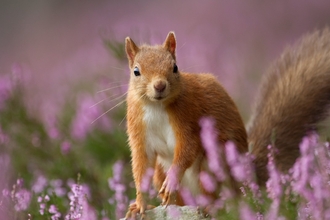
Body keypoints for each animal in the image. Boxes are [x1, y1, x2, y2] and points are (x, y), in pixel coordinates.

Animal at [124, 28, 330, 217]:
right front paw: (140, 204)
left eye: (175, 67)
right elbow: (141, 165)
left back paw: (212, 207)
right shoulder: (139, 130)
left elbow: (188, 148)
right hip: (161, 172)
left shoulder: (188, 118)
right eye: (136, 71)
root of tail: (245, 177)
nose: (159, 85)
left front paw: (171, 181)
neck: (156, 107)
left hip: (214, 163)